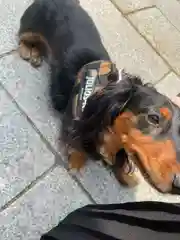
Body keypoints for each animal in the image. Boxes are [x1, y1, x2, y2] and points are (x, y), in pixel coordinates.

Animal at [18, 0, 180, 193]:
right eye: (153, 118)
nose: (178, 184)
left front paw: (125, 174)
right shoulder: (76, 122)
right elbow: (78, 144)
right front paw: (77, 162)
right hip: (32, 27)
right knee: (23, 36)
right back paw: (29, 51)